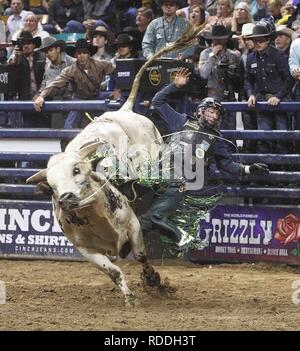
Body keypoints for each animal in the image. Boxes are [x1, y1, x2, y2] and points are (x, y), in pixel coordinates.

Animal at [26, 109, 165, 306]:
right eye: (52, 187)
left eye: (76, 170)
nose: (65, 198)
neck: (95, 216)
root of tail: (124, 110)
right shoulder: (86, 249)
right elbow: (114, 272)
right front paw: (129, 298)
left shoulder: (132, 224)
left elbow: (140, 255)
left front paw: (152, 279)